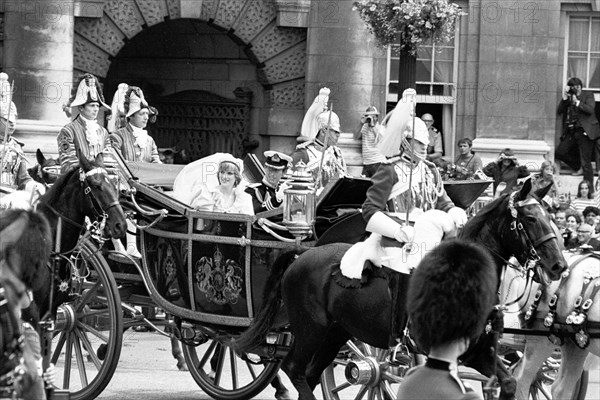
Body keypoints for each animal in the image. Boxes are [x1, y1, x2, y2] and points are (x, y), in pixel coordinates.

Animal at [236, 180, 568, 400]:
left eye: (550, 216)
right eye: (529, 218)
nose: (559, 266)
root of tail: (303, 252)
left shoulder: (479, 351)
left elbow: (509, 383)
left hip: (336, 332)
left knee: (309, 373)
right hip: (311, 329)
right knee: (293, 368)